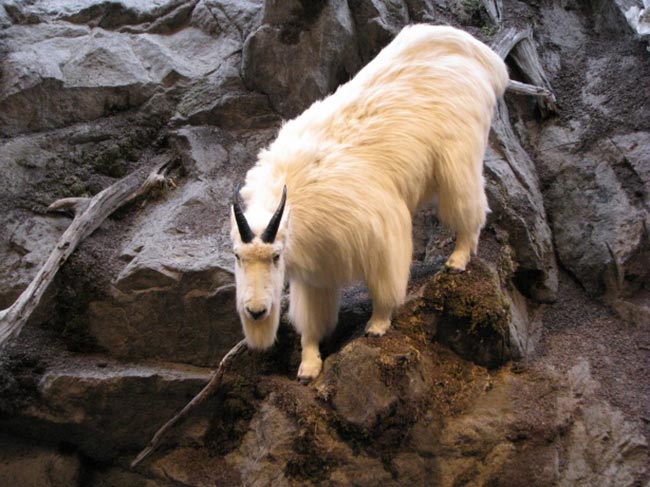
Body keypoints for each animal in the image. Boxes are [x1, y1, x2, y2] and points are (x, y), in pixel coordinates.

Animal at [230, 24, 509, 381]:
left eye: (276, 256)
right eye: (238, 255)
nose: (255, 311)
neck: (295, 195)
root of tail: (478, 55)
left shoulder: (380, 230)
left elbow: (385, 284)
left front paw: (377, 325)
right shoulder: (313, 272)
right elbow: (312, 318)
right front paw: (309, 365)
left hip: (458, 156)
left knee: (469, 206)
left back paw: (458, 259)